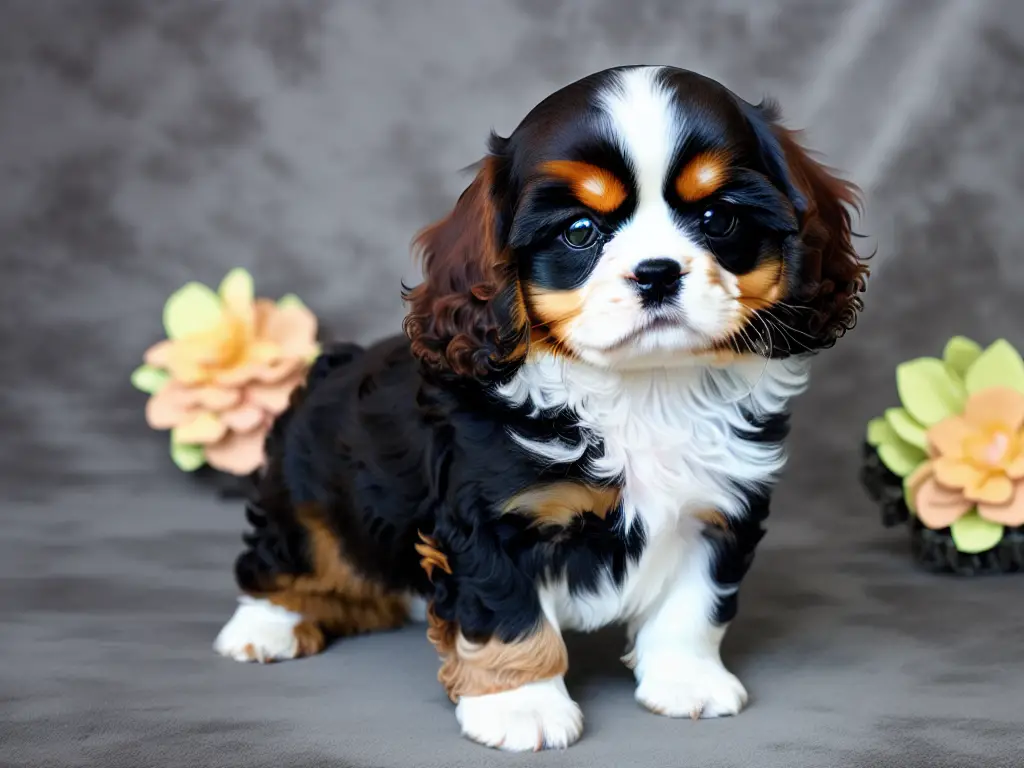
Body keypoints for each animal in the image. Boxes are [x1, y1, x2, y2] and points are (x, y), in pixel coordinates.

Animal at [214, 66, 864, 753]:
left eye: (718, 218)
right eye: (579, 231)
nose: (657, 272)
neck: (644, 386)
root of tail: (333, 363)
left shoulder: (719, 506)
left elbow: (693, 605)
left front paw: (686, 681)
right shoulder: (491, 520)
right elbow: (510, 614)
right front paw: (520, 705)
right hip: (304, 496)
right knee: (286, 557)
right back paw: (267, 627)